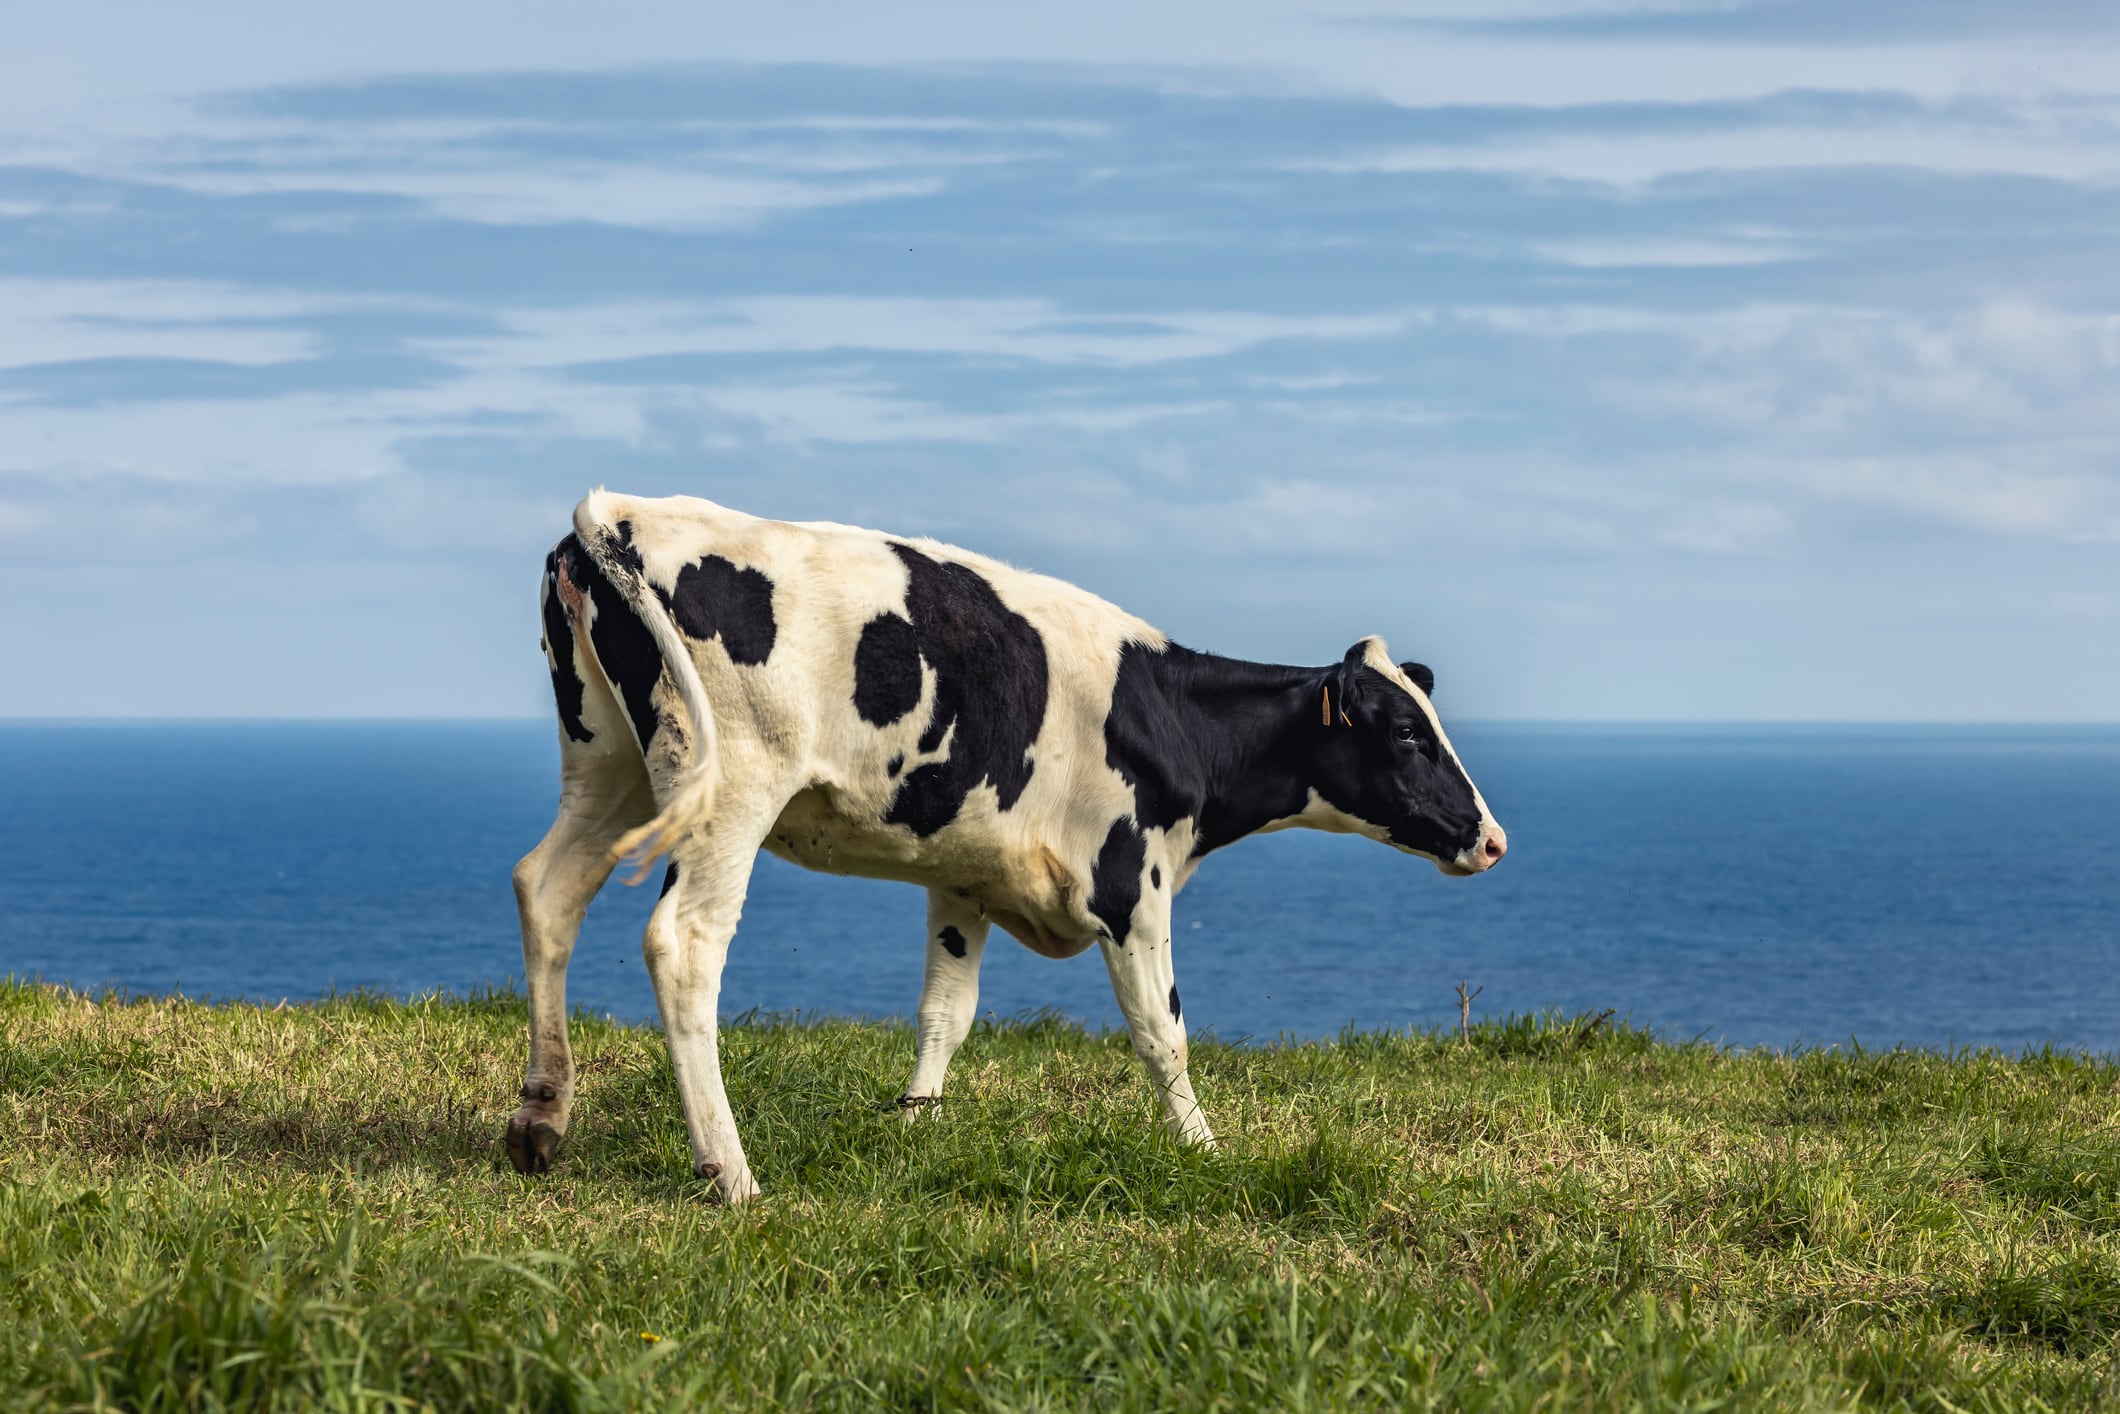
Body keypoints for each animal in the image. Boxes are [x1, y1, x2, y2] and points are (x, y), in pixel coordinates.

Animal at [506, 491, 1506, 1202]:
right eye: (1406, 736)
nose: (1491, 839)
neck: (1171, 717)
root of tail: (622, 514)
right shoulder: (1131, 885)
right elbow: (1164, 1034)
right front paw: (1202, 1149)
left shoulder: (965, 882)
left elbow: (946, 1013)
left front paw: (915, 1126)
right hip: (731, 785)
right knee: (684, 944)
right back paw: (731, 1172)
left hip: (608, 762)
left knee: (545, 888)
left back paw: (541, 1120)